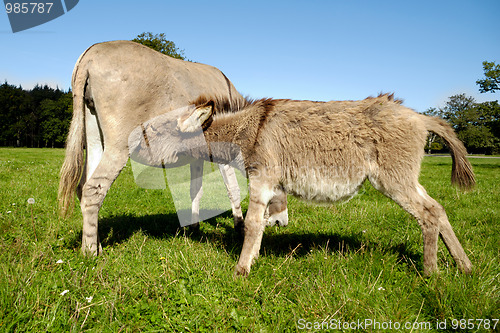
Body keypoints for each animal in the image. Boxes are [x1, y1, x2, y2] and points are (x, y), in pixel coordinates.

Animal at [149, 92, 476, 274]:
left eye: (159, 128)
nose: (141, 149)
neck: (248, 129)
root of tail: (420, 117)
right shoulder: (269, 184)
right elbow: (262, 222)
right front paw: (253, 259)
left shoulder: (262, 177)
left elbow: (253, 223)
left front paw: (240, 270)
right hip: (406, 178)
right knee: (438, 208)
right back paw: (464, 266)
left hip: (393, 180)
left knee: (428, 213)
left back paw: (430, 273)